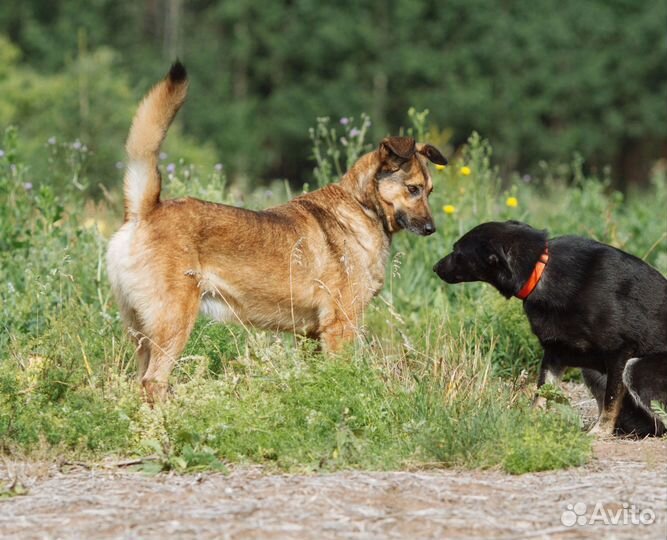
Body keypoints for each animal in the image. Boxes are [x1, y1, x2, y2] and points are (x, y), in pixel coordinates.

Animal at [107, 63, 448, 400]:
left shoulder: (311, 334)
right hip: (173, 324)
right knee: (154, 381)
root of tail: (145, 209)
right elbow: (341, 377)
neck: (362, 205)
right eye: (413, 189)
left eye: (430, 191)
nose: (431, 229)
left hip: (142, 335)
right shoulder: (340, 325)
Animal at [434, 219, 667, 434]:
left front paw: (600, 431)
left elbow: (611, 398)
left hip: (634, 369)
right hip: (591, 372)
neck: (539, 269)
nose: (434, 268)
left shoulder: (619, 351)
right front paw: (531, 422)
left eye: (457, 252)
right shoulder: (554, 352)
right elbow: (541, 392)